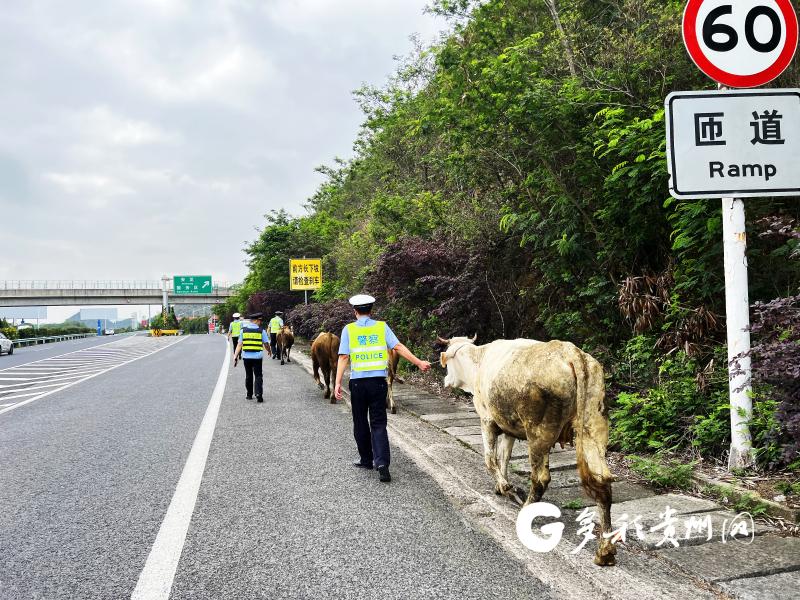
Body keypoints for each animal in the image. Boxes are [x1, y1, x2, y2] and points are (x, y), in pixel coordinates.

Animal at [438, 338, 620, 568]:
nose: (445, 380)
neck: (477, 361)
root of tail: (572, 352)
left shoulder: (487, 419)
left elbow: (490, 459)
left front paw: (506, 487)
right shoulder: (509, 427)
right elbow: (504, 457)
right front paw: (502, 486)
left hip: (538, 432)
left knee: (540, 478)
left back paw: (525, 509)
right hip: (593, 427)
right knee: (603, 484)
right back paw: (605, 551)